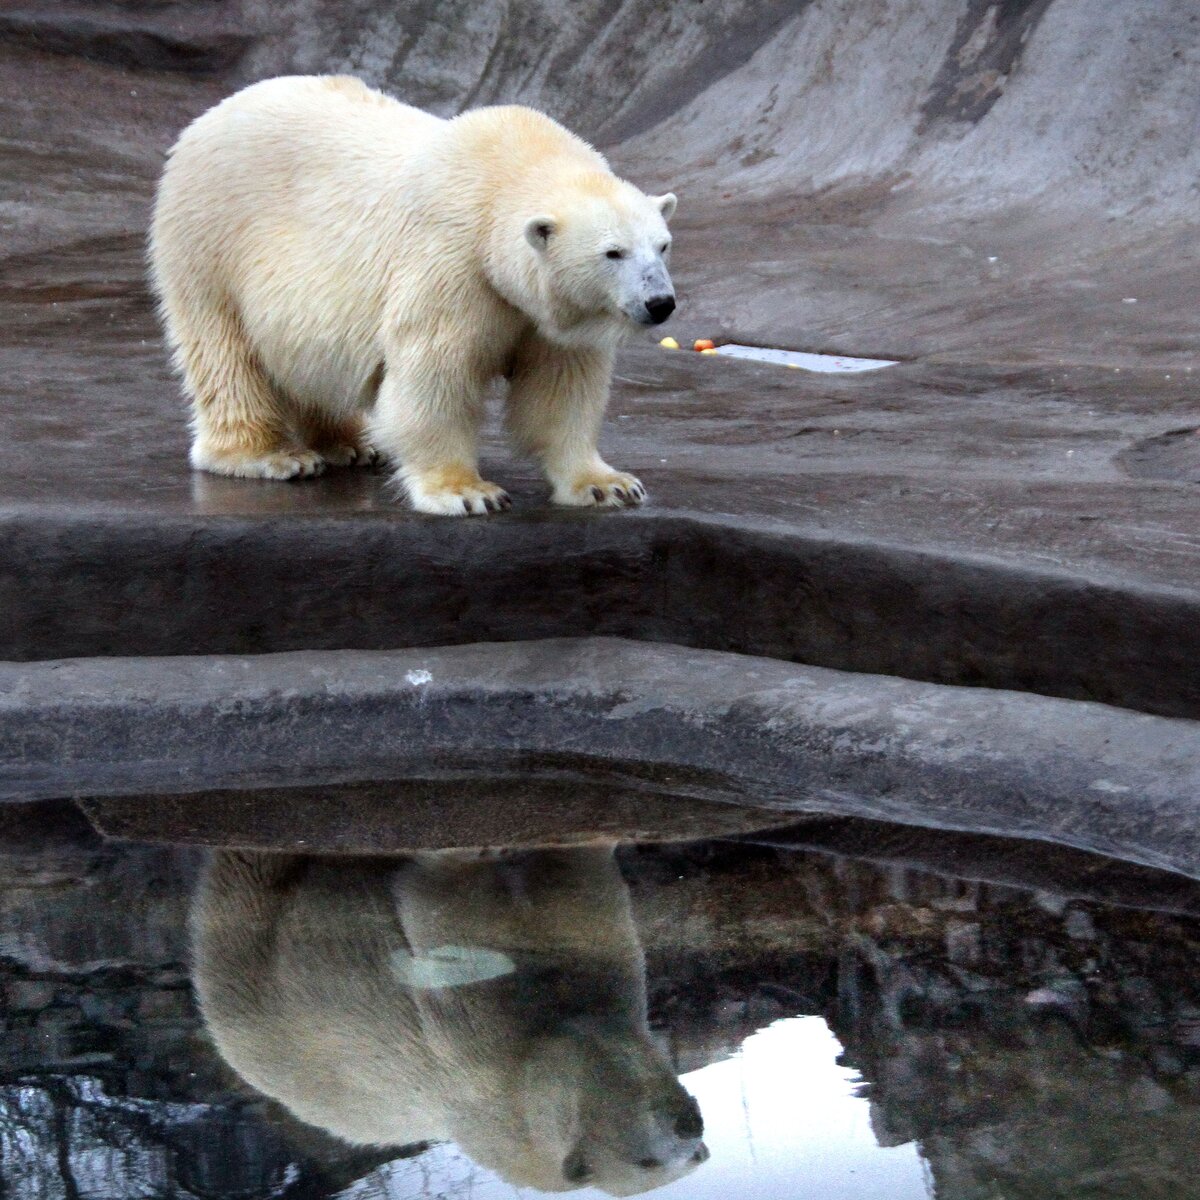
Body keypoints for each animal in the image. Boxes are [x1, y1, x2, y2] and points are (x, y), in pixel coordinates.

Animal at [148, 75, 676, 516]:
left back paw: (352, 443)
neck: (504, 172)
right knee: (226, 355)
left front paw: (608, 485)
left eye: (663, 245)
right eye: (613, 252)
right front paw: (466, 492)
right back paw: (271, 455)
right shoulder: (453, 263)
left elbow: (560, 388)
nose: (661, 303)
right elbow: (435, 375)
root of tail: (209, 116)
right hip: (210, 243)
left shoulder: (546, 315)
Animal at [192, 849, 705, 1195]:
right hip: (256, 945)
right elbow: (441, 903)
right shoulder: (485, 1061)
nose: (690, 1124)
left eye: (696, 1155)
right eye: (646, 1161)